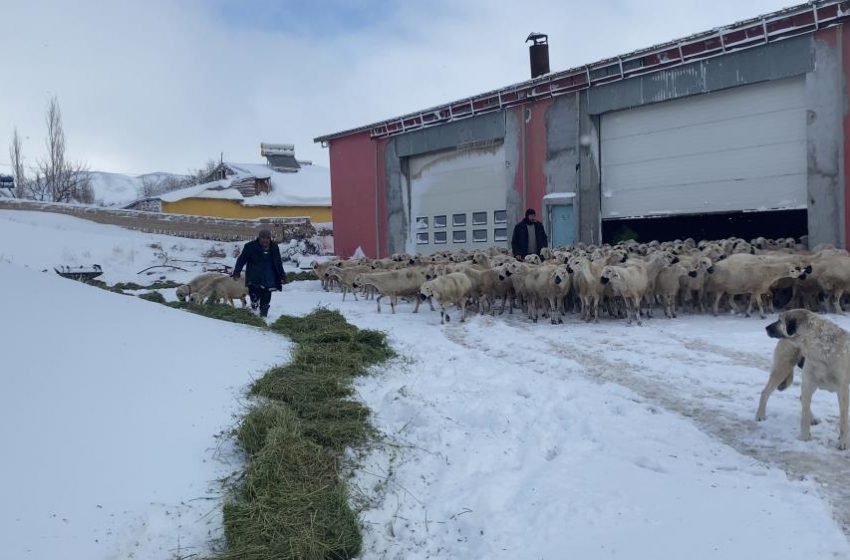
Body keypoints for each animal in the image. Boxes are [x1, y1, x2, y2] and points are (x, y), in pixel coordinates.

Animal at [760, 308, 848, 448]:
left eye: (780, 320)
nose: (766, 328)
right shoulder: (808, 383)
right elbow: (804, 416)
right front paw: (804, 438)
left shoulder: (842, 389)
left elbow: (844, 419)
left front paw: (843, 442)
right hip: (782, 369)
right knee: (765, 393)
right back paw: (760, 416)